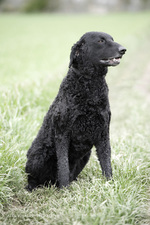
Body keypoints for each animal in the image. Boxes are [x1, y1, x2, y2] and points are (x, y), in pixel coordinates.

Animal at [25, 30, 126, 191]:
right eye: (101, 41)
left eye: (112, 39)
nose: (123, 50)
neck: (90, 85)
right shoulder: (62, 134)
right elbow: (63, 166)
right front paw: (65, 190)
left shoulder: (103, 133)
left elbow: (106, 162)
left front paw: (110, 184)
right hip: (37, 155)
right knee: (33, 177)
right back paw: (32, 187)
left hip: (86, 154)